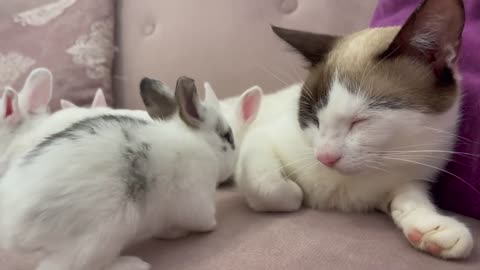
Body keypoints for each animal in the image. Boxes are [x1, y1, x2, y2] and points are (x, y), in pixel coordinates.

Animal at [0, 75, 236, 270]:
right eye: (227, 136)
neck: (199, 142)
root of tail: (10, 227)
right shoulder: (197, 201)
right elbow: (203, 222)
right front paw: (208, 227)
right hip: (102, 236)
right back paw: (133, 264)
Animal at [234, 0, 474, 260]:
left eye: (359, 121)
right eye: (313, 118)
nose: (325, 158)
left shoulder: (407, 177)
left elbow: (410, 196)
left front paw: (433, 226)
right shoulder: (261, 139)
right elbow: (266, 184)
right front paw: (294, 193)